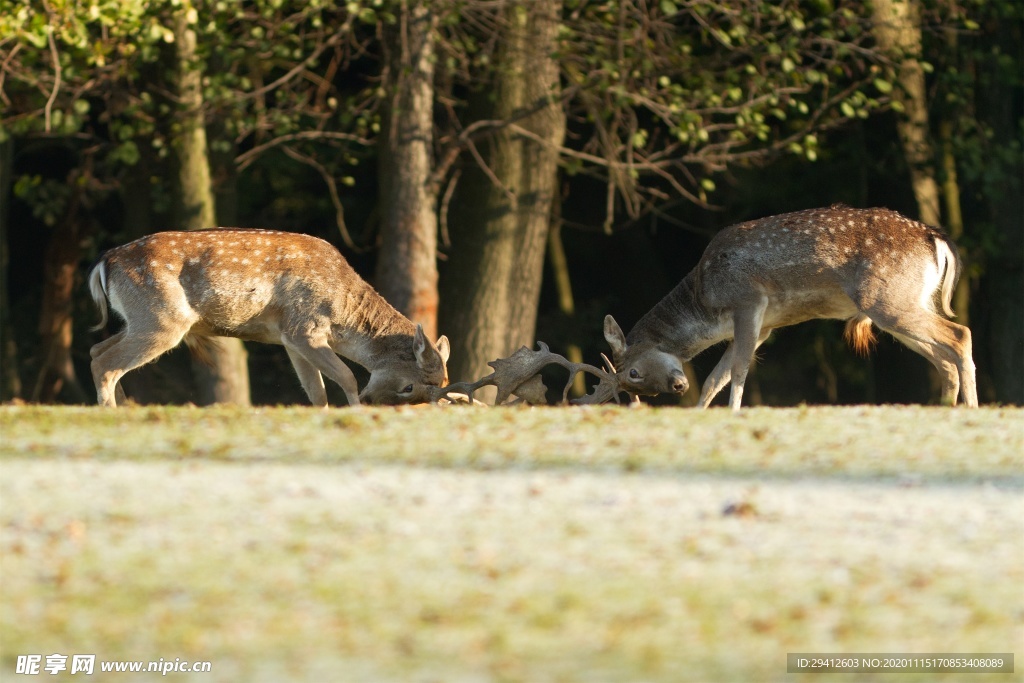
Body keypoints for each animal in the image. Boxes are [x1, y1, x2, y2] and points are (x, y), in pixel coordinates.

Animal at [90, 229, 450, 409]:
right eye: (409, 386)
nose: (373, 403)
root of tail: (103, 263)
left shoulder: (290, 338)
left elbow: (316, 392)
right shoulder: (305, 326)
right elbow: (347, 376)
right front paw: (356, 412)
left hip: (142, 318)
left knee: (97, 350)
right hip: (162, 318)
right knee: (105, 364)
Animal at [598, 204, 978, 411]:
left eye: (632, 373)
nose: (676, 387)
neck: (705, 303)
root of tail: (937, 240)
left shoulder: (748, 301)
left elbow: (738, 370)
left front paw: (734, 411)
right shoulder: (765, 325)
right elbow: (713, 378)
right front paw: (701, 412)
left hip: (886, 298)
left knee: (960, 334)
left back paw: (971, 408)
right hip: (905, 300)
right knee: (944, 357)